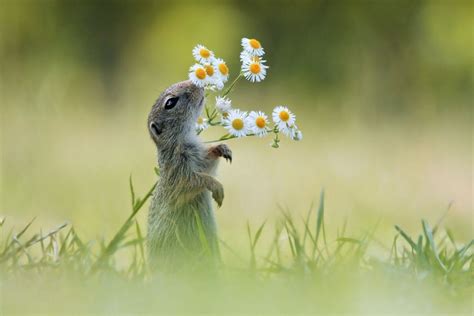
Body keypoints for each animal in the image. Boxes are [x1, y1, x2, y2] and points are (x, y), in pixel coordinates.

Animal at [146, 80, 231, 270]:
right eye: (170, 103)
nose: (198, 84)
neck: (181, 139)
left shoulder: (201, 159)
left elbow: (209, 163)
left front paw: (222, 148)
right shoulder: (179, 170)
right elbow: (194, 181)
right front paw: (217, 187)